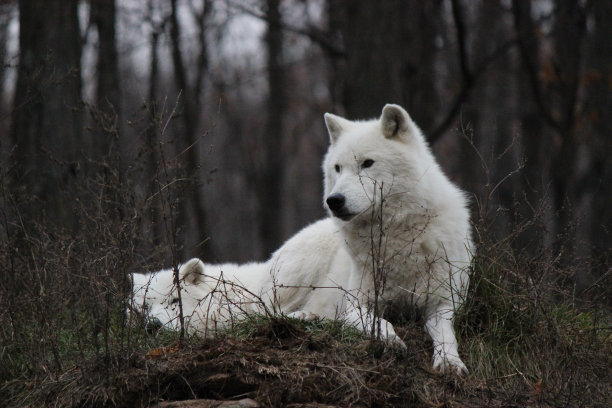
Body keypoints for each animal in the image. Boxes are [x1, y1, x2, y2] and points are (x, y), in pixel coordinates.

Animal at [129, 103, 474, 374]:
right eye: (338, 168)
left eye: (367, 164)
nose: (334, 201)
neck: (396, 237)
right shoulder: (354, 304)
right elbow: (377, 321)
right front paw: (390, 339)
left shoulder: (443, 302)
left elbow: (446, 334)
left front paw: (450, 362)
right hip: (296, 274)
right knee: (264, 312)